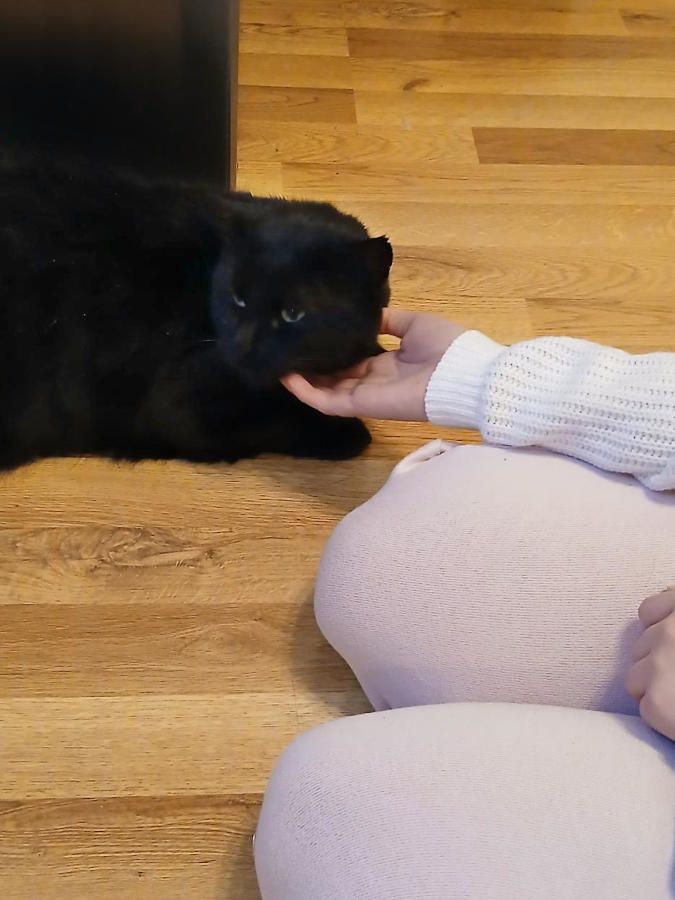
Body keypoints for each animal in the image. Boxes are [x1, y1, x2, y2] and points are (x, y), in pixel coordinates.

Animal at [0, 150, 392, 470]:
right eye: (238, 298)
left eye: (293, 313)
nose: (242, 345)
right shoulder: (179, 408)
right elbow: (277, 420)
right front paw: (344, 432)